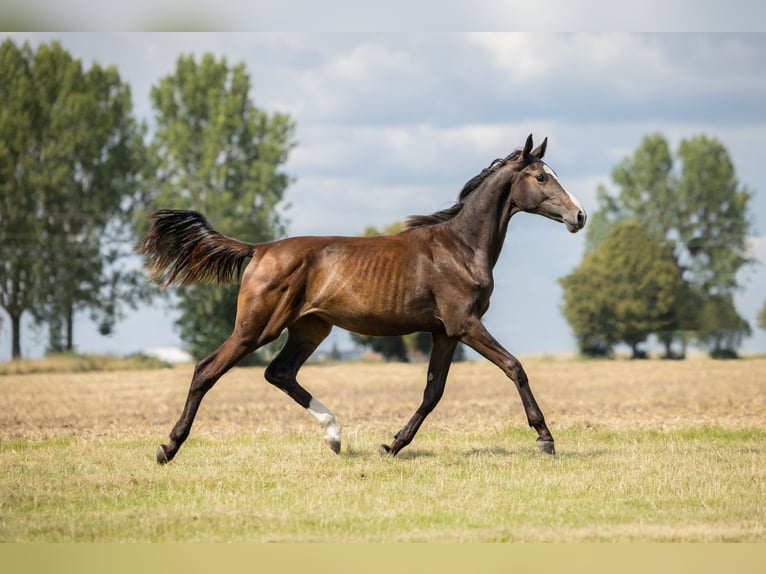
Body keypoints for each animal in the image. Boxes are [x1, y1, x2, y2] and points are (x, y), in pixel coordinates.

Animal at [138, 133, 588, 466]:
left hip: (311, 327)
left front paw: (392, 445)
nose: (580, 216)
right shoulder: (464, 324)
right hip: (257, 327)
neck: (459, 247)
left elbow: (433, 392)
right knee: (206, 369)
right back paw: (168, 448)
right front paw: (545, 439)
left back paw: (335, 437)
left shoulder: (445, 332)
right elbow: (515, 367)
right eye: (541, 177)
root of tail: (260, 249)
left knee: (279, 373)